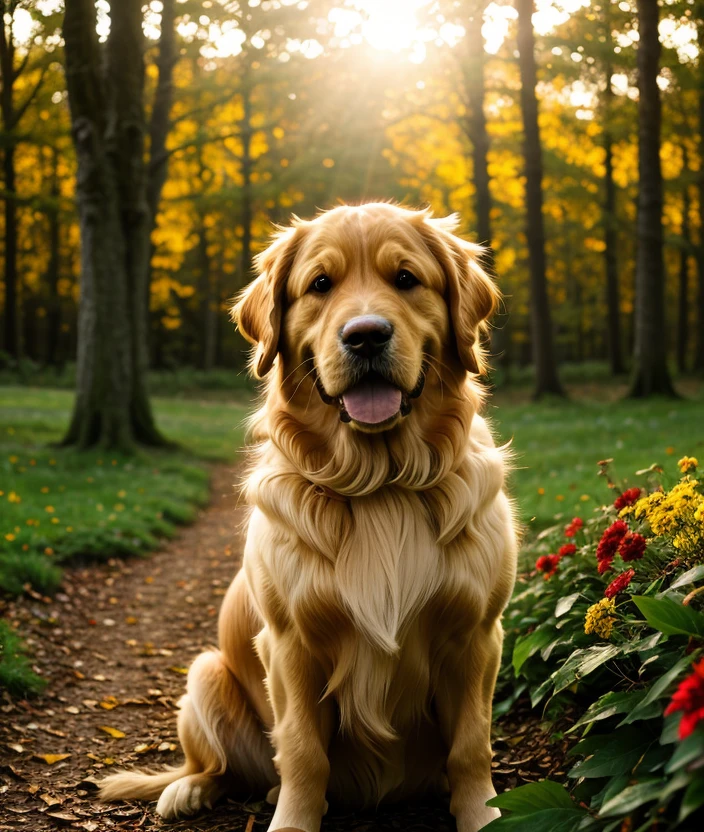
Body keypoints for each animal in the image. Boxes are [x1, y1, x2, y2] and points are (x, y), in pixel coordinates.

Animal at [100, 205, 516, 832]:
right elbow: (300, 750)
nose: (365, 335)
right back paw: (190, 791)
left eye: (406, 279)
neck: (380, 486)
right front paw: (293, 817)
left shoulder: (476, 636)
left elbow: (471, 746)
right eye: (320, 284)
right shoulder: (291, 645)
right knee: (219, 767)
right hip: (206, 674)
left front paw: (482, 815)